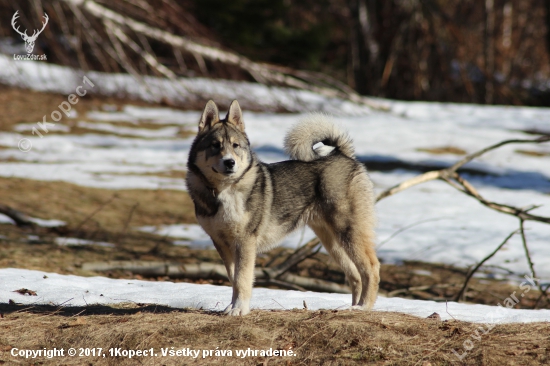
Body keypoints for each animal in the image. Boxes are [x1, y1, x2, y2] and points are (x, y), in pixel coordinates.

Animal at [185, 99, 380, 314]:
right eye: (215, 145)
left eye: (235, 145)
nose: (230, 163)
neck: (224, 190)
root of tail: (342, 154)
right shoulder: (221, 244)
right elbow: (234, 279)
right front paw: (232, 307)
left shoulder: (244, 242)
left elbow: (242, 279)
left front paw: (239, 309)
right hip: (333, 242)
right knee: (355, 275)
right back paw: (351, 307)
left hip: (349, 232)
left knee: (371, 268)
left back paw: (364, 306)